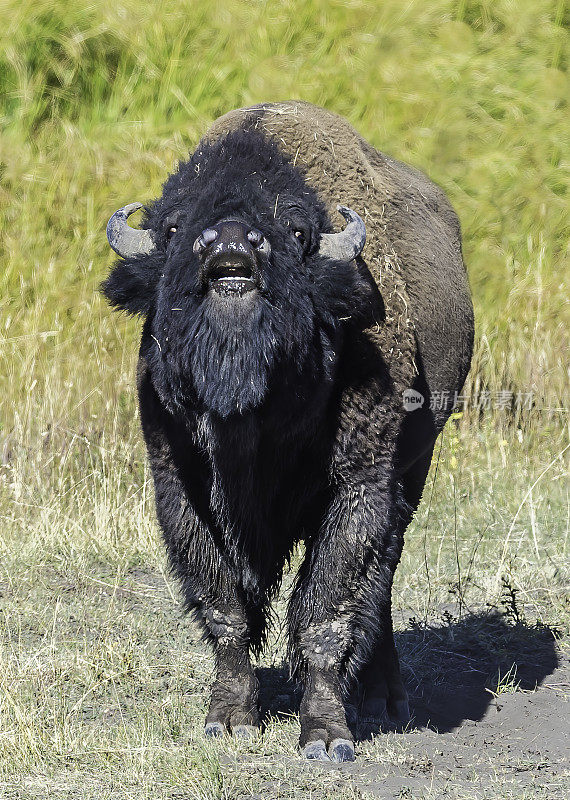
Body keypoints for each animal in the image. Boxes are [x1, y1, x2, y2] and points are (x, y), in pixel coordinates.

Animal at [101, 101, 470, 764]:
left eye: (294, 232)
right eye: (175, 229)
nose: (228, 246)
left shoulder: (359, 485)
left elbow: (328, 607)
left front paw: (325, 736)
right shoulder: (178, 485)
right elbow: (224, 606)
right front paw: (229, 720)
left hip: (413, 471)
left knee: (381, 584)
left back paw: (382, 698)